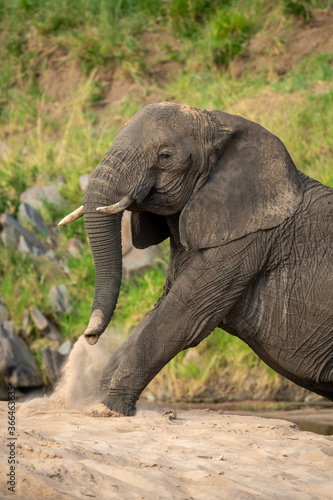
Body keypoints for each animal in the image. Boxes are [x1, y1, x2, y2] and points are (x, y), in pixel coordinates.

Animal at [59, 100, 332, 414]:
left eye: (164, 156)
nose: (89, 338)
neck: (221, 122)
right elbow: (159, 309)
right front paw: (99, 398)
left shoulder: (246, 240)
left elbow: (184, 315)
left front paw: (108, 408)